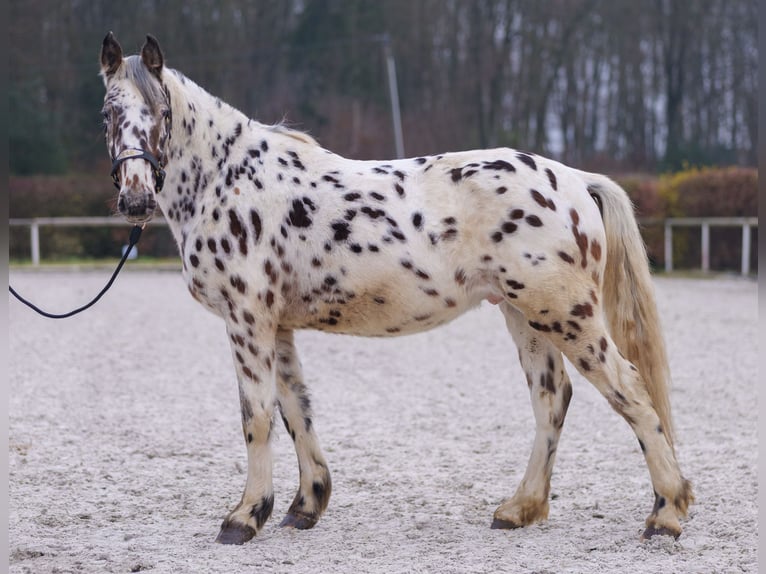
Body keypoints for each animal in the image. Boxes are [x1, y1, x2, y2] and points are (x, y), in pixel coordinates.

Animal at [99, 33, 692, 548]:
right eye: (108, 112)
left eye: (160, 112)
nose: (135, 200)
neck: (227, 179)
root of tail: (574, 180)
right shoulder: (278, 326)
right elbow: (296, 410)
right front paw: (305, 506)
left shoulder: (248, 320)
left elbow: (258, 416)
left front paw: (244, 517)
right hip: (526, 315)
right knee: (552, 399)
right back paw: (520, 509)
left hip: (564, 313)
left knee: (629, 388)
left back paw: (665, 514)